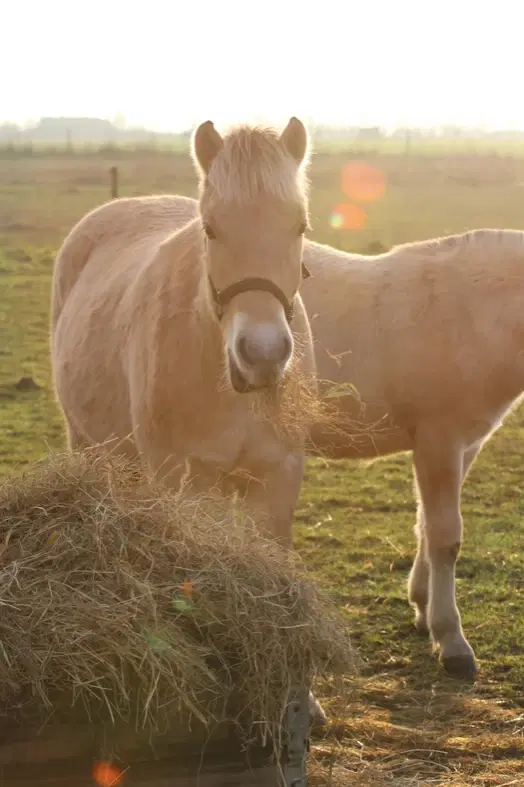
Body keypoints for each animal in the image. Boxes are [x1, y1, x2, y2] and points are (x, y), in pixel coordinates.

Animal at [50, 118, 328, 728]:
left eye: (298, 226)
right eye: (211, 229)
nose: (263, 354)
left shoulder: (279, 477)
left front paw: (302, 698)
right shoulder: (182, 480)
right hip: (90, 444)